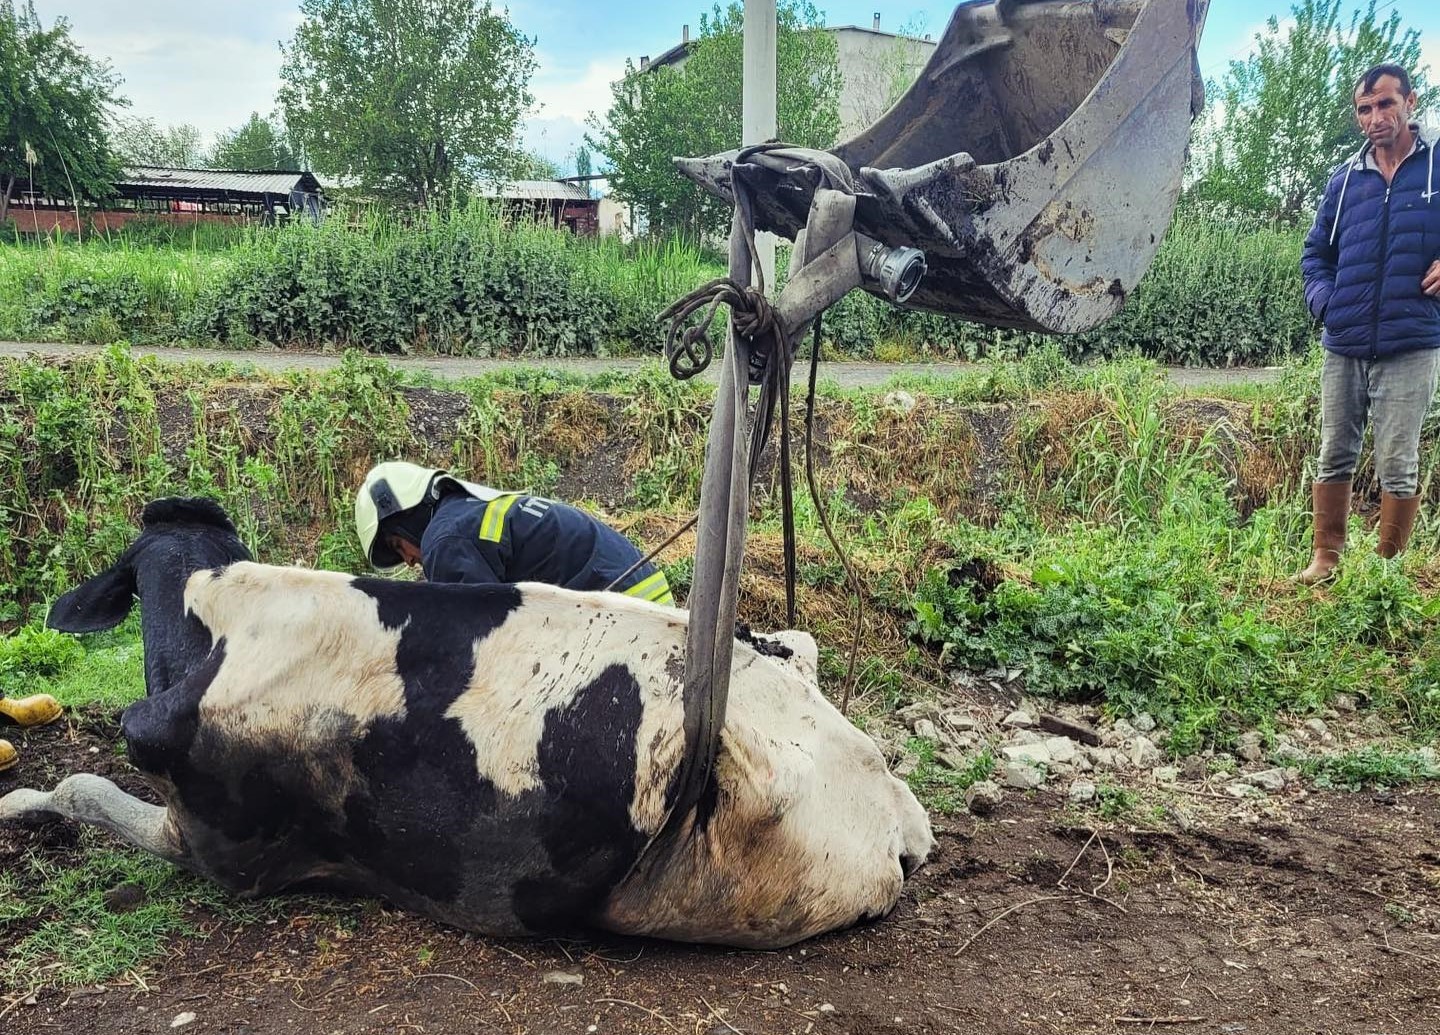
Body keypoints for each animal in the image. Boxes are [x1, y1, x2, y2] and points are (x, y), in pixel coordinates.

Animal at [0, 500, 933, 950]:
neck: (212, 625)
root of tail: (887, 803)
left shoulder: (220, 850)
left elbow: (78, 782)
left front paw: (15, 807)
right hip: (792, 649)